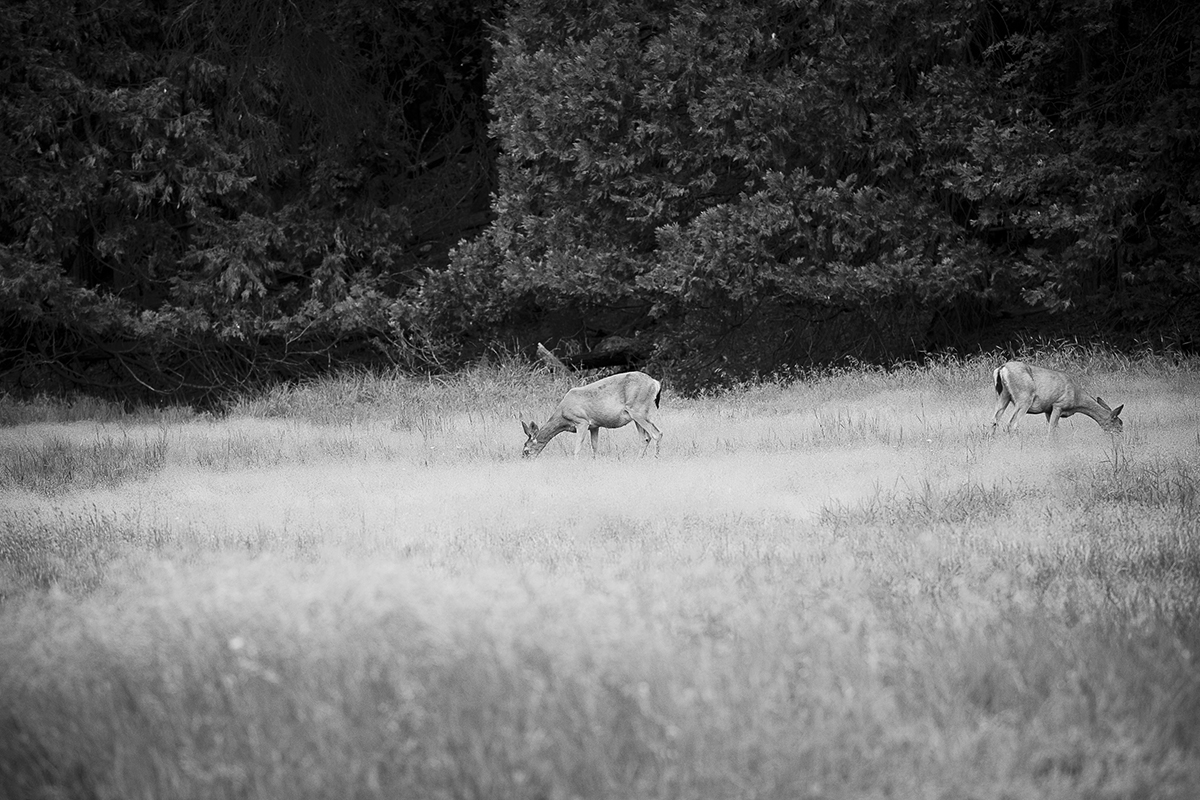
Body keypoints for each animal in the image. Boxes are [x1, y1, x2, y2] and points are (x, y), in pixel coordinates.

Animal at [520, 369, 662, 455]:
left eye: (526, 451)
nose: (524, 459)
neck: (563, 416)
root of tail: (655, 383)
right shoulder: (594, 425)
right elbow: (595, 447)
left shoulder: (582, 421)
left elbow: (577, 448)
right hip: (637, 414)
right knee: (645, 438)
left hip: (638, 410)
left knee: (656, 433)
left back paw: (655, 458)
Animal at [988, 362, 1118, 434]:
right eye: (1119, 423)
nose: (1120, 433)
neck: (1076, 398)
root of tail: (1001, 368)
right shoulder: (1058, 405)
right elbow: (1051, 429)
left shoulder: (1048, 409)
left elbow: (1055, 430)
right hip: (1024, 398)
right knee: (1012, 424)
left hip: (1002, 396)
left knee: (993, 420)